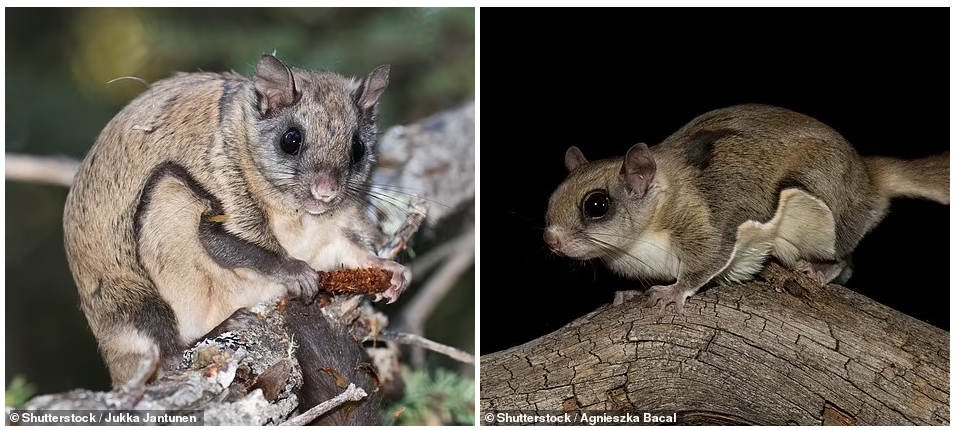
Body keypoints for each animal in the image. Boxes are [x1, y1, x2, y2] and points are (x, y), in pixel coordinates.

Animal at [62, 54, 408, 424]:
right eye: (291, 140)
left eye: (357, 148)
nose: (326, 191)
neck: (299, 216)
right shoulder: (222, 186)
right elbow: (231, 246)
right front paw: (297, 273)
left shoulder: (332, 234)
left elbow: (351, 250)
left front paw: (390, 271)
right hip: (158, 240)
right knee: (169, 355)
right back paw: (221, 326)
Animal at [544, 104, 948, 312]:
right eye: (550, 201)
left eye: (596, 205)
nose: (551, 241)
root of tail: (868, 176)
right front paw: (630, 293)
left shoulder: (707, 222)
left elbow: (706, 262)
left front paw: (673, 292)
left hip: (823, 216)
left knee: (845, 261)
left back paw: (819, 270)